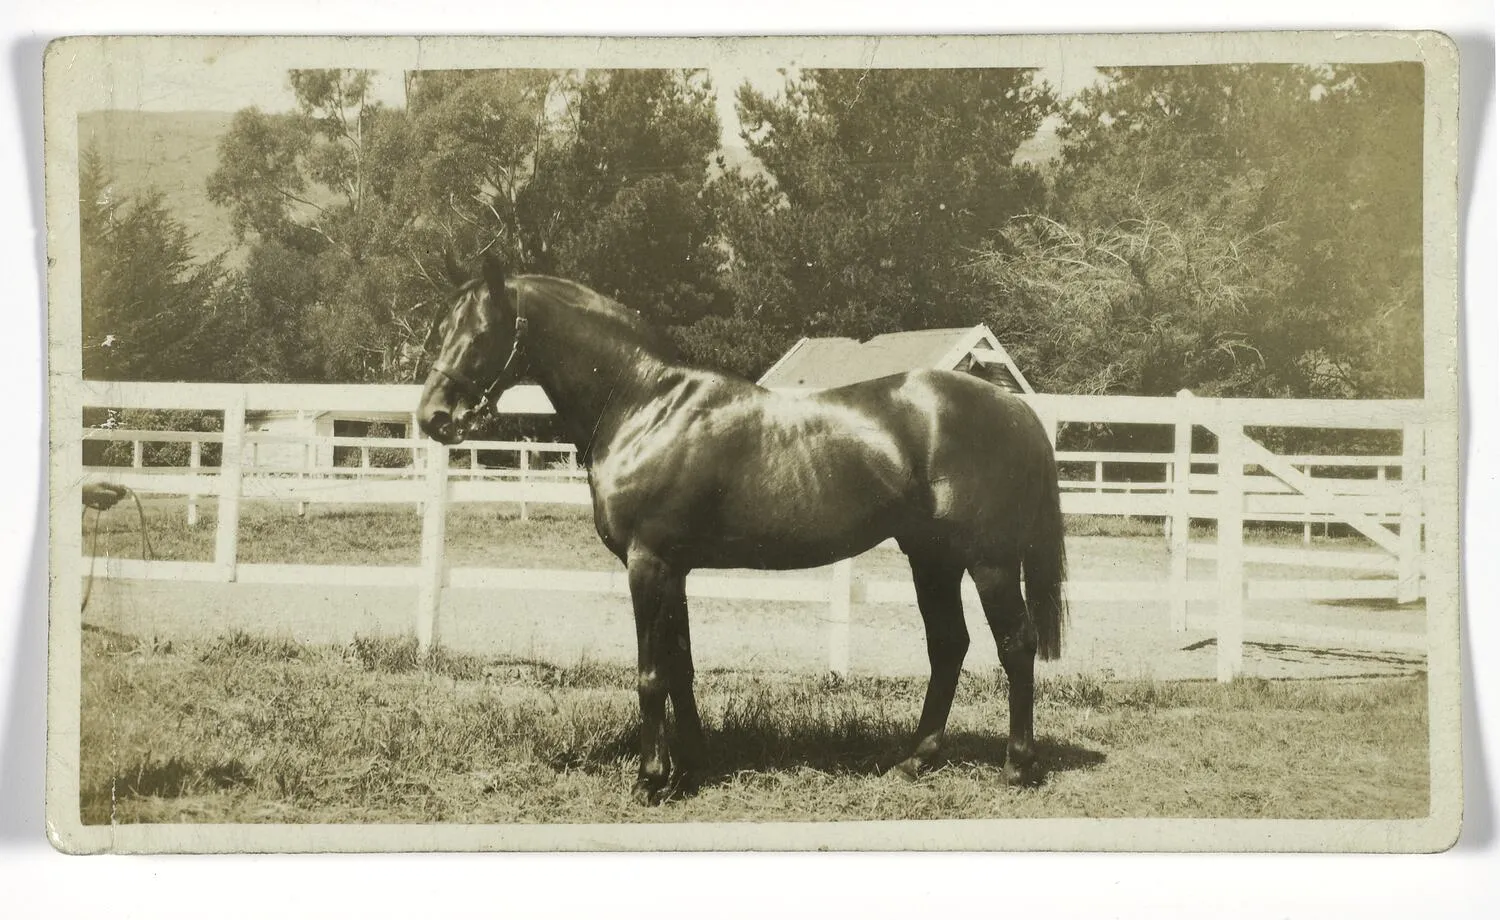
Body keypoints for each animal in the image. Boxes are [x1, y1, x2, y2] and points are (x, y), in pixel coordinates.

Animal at [417, 253, 1067, 804]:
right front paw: (693, 765)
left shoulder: (648, 563)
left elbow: (650, 672)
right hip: (931, 557)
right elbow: (680, 665)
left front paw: (652, 779)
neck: (645, 407)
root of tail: (1015, 408)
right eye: (441, 328)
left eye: (481, 332)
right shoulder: (673, 567)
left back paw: (1017, 766)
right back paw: (915, 761)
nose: (433, 418)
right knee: (948, 645)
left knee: (1015, 644)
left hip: (989, 561)